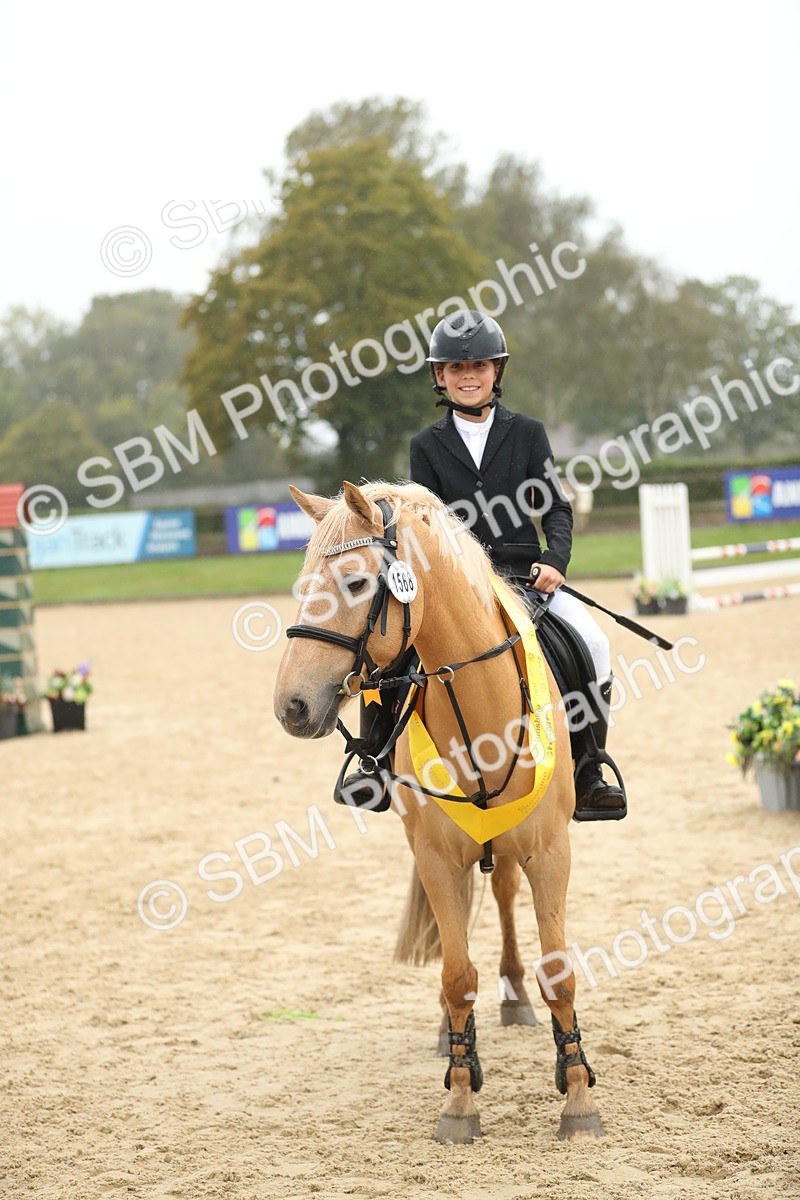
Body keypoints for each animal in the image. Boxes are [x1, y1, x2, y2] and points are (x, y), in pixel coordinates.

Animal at [273, 479, 604, 1144]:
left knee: (502, 894)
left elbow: (558, 971)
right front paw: (459, 1098)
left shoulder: (550, 851)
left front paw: (579, 1097)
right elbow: (456, 977)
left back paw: (514, 1000)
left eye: (355, 583)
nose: (291, 706)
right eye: (302, 584)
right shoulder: (436, 857)